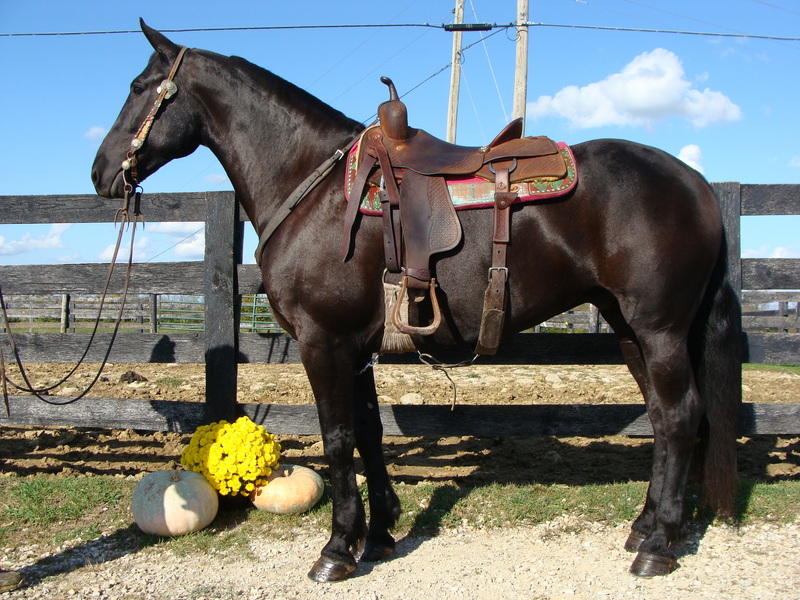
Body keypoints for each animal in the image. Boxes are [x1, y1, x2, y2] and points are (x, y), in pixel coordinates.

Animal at [92, 21, 741, 582]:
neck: (314, 187)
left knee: (680, 416)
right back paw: (645, 527)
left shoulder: (323, 341)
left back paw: (658, 546)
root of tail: (697, 184)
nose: (101, 173)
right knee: (661, 417)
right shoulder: (356, 347)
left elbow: (338, 438)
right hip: (629, 328)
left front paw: (336, 550)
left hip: (659, 329)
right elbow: (369, 432)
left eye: (139, 87)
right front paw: (378, 534)